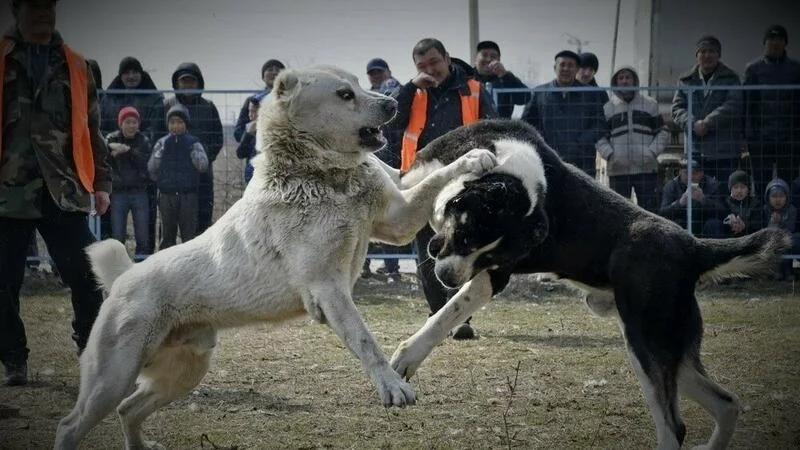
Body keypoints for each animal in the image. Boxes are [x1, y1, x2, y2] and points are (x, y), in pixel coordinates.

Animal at [54, 67, 494, 450]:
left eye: (358, 84)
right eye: (345, 94)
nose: (390, 103)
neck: (322, 177)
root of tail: (124, 277)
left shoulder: (398, 220)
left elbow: (433, 178)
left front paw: (474, 159)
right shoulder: (328, 289)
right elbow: (365, 341)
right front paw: (391, 386)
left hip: (182, 371)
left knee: (129, 410)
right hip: (112, 377)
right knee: (71, 424)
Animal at [390, 120, 792, 450]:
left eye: (483, 252)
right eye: (466, 234)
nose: (448, 278)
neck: (509, 165)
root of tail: (692, 246)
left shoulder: (495, 274)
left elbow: (446, 314)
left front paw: (408, 356)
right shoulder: (415, 179)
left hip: (648, 344)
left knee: (674, 428)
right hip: (672, 350)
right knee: (727, 404)